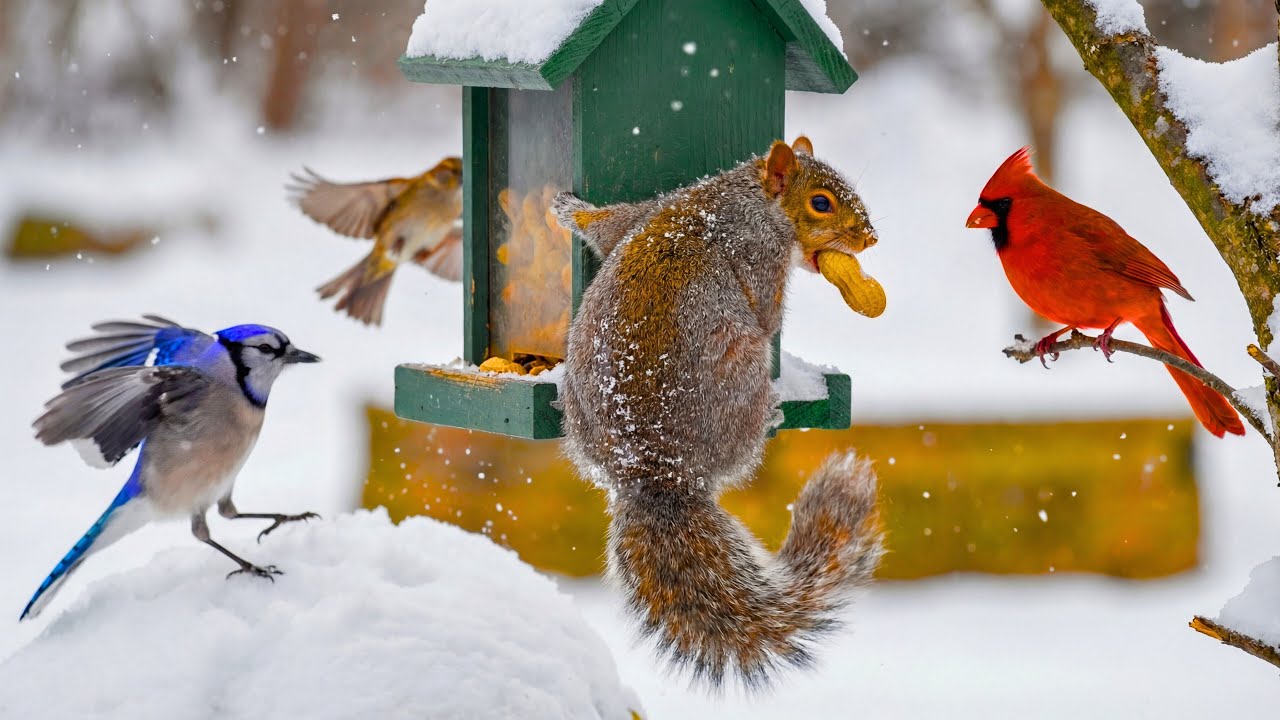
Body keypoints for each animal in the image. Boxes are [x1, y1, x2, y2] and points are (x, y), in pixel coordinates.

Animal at [552, 136, 885, 689]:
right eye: (821, 202)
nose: (870, 239)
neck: (738, 196)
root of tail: (655, 470)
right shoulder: (760, 256)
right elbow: (768, 315)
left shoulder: (652, 209)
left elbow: (612, 225)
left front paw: (571, 209)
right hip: (741, 371)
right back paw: (772, 411)